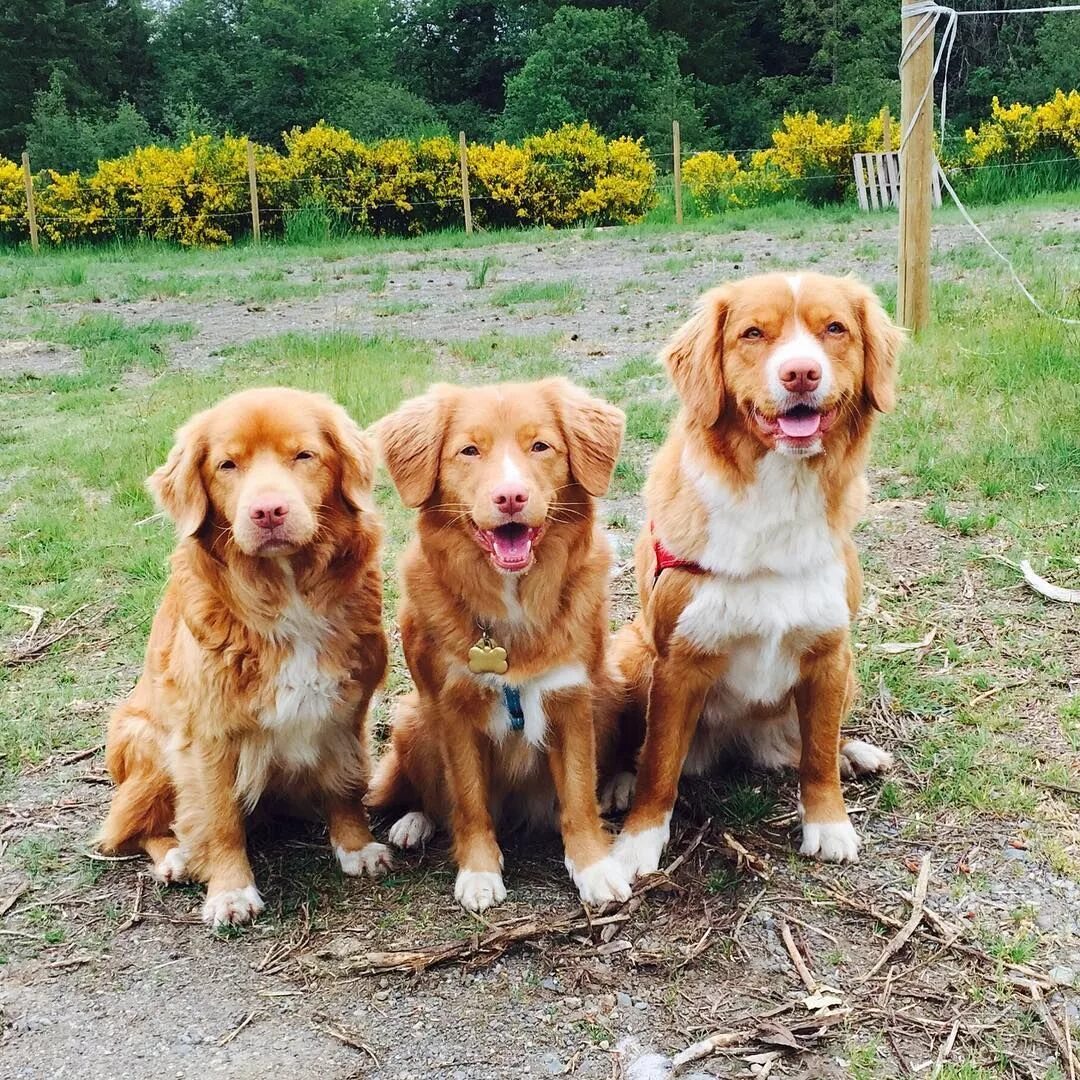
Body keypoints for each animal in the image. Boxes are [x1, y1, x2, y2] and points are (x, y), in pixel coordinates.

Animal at [96, 388, 393, 928]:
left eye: (304, 455)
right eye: (227, 465)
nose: (268, 511)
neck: (286, 590)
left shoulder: (344, 711)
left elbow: (345, 785)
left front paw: (355, 847)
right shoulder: (206, 735)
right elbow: (219, 818)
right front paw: (230, 890)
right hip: (148, 742)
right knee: (130, 828)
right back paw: (177, 857)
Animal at [367, 378, 630, 911]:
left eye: (540, 446)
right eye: (469, 450)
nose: (510, 496)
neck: (511, 602)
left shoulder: (573, 700)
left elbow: (578, 793)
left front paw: (593, 865)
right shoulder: (452, 710)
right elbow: (467, 801)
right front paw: (479, 871)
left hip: (611, 688)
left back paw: (616, 788)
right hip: (413, 719)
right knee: (433, 797)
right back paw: (414, 823)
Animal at [617, 274, 902, 881]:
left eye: (834, 328)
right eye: (752, 334)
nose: (801, 373)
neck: (778, 499)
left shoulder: (829, 651)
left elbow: (817, 756)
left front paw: (829, 823)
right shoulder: (677, 662)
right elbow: (659, 765)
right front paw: (636, 842)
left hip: (849, 672)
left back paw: (855, 752)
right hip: (629, 656)